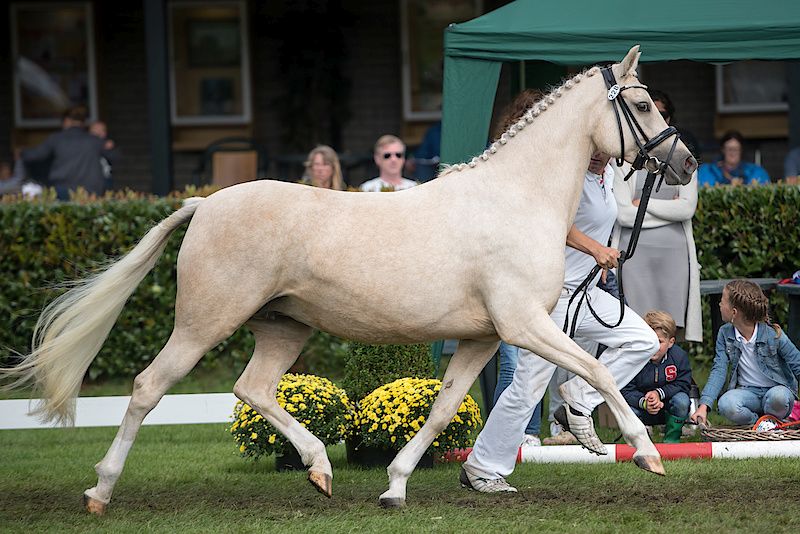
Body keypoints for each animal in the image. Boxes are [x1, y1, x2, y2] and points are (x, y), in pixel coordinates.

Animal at [1, 48, 692, 512]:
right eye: (639, 103)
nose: (683, 162)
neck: (513, 199)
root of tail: (205, 204)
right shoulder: (525, 325)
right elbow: (598, 369)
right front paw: (648, 455)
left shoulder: (483, 337)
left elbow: (443, 410)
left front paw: (395, 486)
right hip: (204, 323)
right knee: (148, 388)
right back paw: (100, 490)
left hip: (282, 328)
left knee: (252, 388)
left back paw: (319, 469)